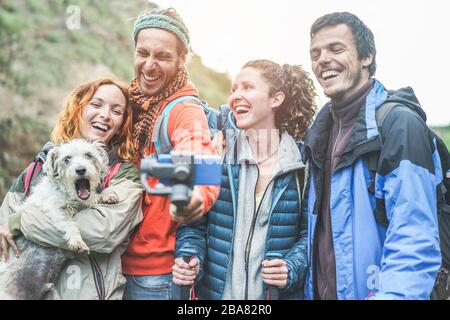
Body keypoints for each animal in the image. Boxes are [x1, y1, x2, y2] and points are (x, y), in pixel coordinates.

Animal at [0, 139, 118, 298]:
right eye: (67, 159)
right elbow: (69, 225)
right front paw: (77, 242)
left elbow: (94, 197)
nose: (81, 170)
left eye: (89, 155)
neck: (70, 196)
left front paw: (107, 194)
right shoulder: (55, 209)